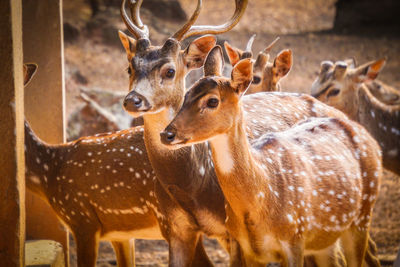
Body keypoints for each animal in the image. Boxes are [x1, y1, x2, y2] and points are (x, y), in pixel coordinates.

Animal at [161, 46, 382, 267]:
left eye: (213, 101)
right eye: (186, 94)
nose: (167, 134)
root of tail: (370, 139)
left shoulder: (295, 238)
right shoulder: (249, 249)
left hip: (363, 215)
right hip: (325, 239)